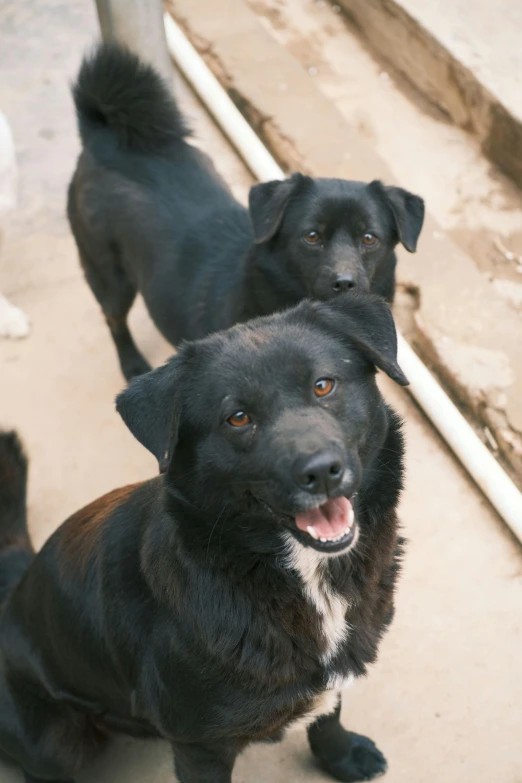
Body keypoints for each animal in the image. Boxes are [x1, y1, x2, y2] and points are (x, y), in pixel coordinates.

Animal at [0, 290, 406, 780]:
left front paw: (340, 755)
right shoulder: (201, 747)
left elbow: (330, 711)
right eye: (238, 418)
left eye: (324, 385)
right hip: (56, 743)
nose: (322, 472)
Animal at [67, 44, 422, 382]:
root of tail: (104, 137)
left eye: (369, 238)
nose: (345, 283)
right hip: (108, 275)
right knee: (113, 319)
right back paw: (131, 362)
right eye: (311, 236)